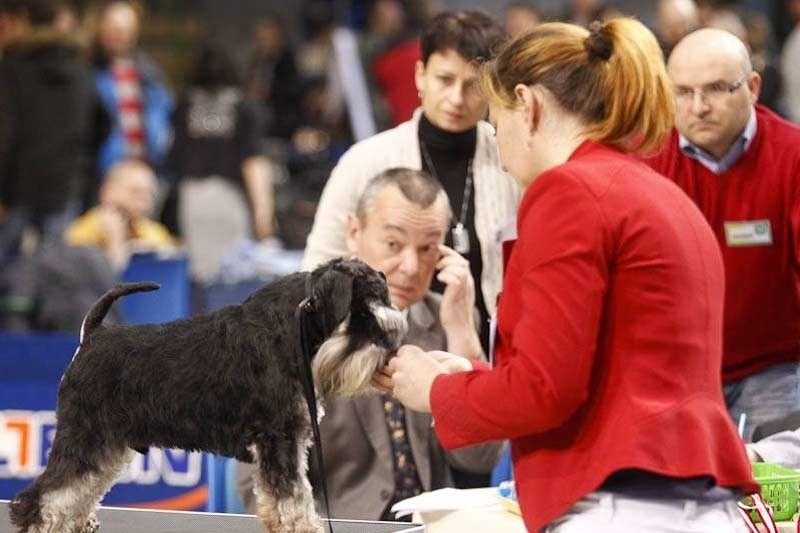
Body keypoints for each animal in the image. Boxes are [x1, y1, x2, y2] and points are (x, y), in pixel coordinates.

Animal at [7, 256, 406, 528]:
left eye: (385, 301)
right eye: (362, 311)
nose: (391, 346)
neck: (296, 328)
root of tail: (92, 335)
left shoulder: (287, 443)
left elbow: (289, 499)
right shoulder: (279, 440)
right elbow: (294, 500)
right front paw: (304, 528)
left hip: (108, 446)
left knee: (82, 489)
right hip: (84, 436)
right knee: (44, 494)